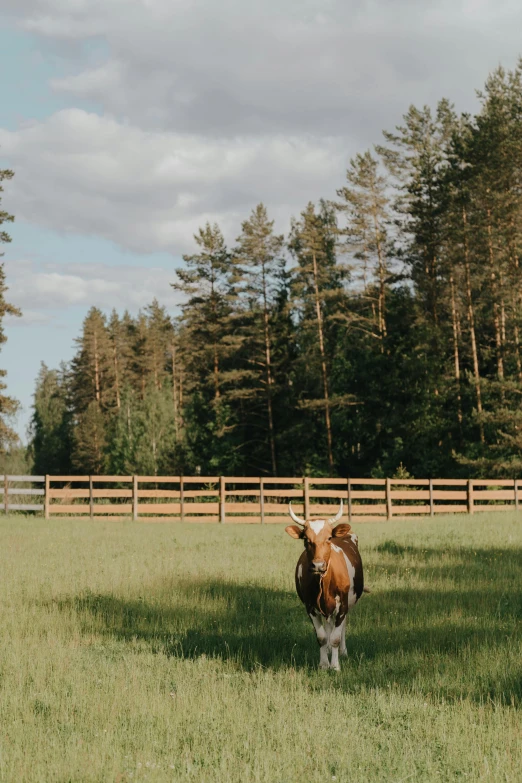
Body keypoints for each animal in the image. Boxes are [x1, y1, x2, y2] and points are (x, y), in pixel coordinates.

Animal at [284, 500, 366, 672]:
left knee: (341, 627)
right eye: (306, 539)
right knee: (328, 626)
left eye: (329, 537)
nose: (318, 565)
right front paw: (323, 664)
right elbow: (321, 637)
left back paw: (342, 651)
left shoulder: (342, 606)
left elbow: (335, 637)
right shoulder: (310, 607)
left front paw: (335, 666)